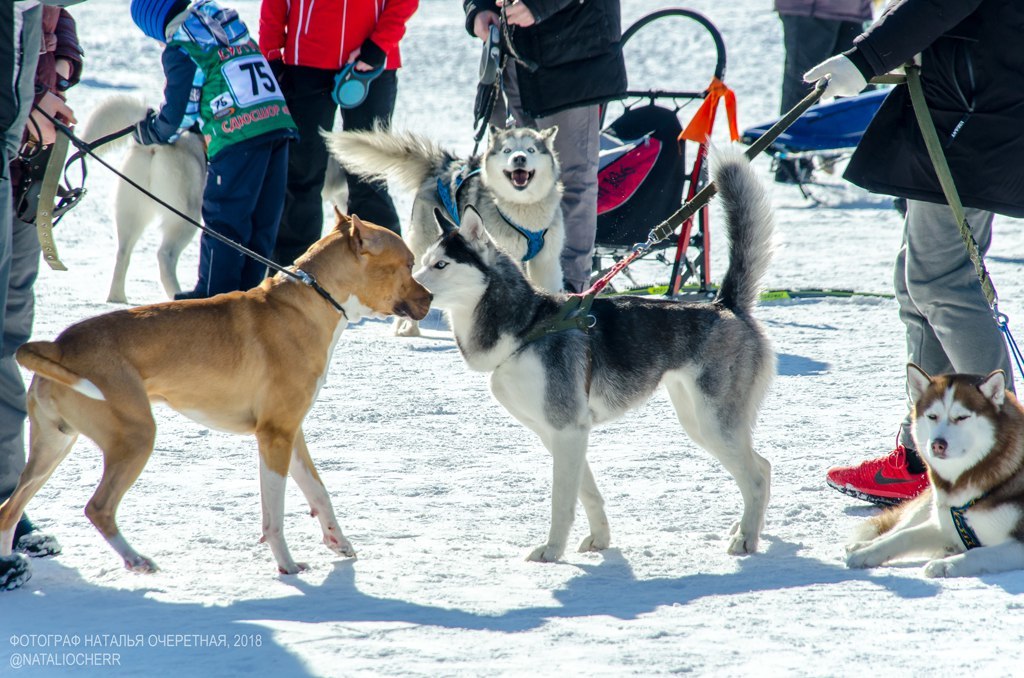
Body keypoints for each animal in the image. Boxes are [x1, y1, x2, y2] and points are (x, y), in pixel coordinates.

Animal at [0, 214, 428, 577]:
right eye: (408, 264)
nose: (429, 299)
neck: (312, 301)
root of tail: (57, 346)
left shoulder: (292, 432)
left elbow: (319, 492)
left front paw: (338, 540)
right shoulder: (274, 437)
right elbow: (275, 513)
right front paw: (287, 565)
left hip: (53, 447)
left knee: (9, 510)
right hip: (135, 437)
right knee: (98, 508)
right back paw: (136, 560)